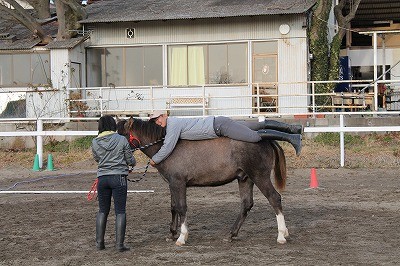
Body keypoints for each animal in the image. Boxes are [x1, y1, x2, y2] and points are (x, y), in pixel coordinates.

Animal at [124, 117, 288, 246]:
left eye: (121, 134)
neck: (167, 147)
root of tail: (265, 140)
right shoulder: (172, 184)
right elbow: (174, 207)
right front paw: (171, 234)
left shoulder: (179, 183)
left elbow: (182, 207)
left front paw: (182, 237)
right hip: (245, 179)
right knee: (246, 204)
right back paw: (231, 235)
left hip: (259, 176)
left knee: (274, 198)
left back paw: (281, 235)